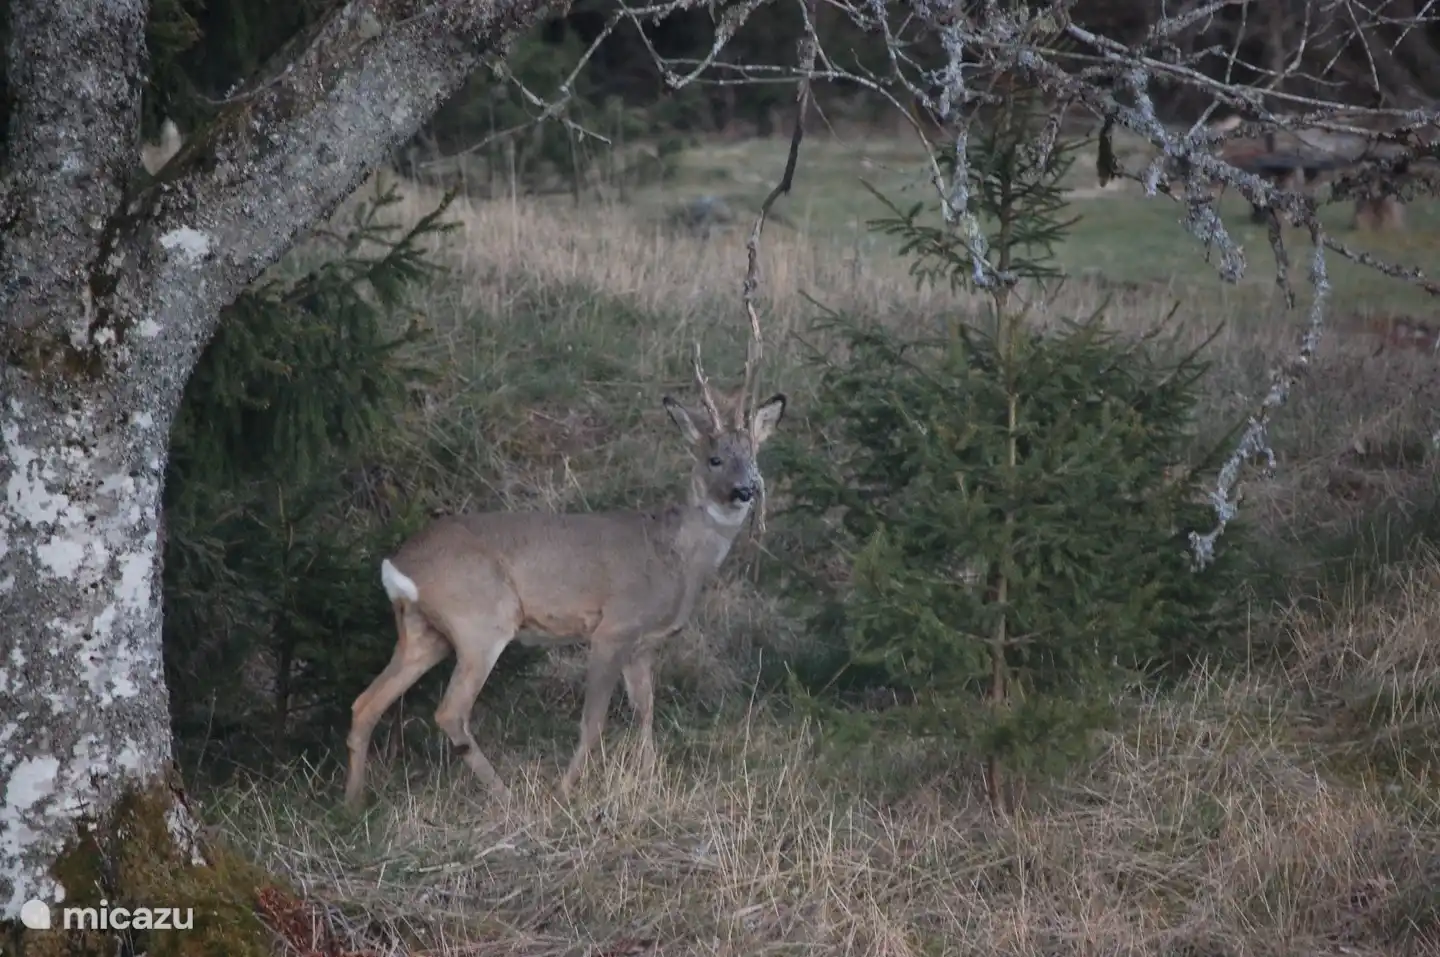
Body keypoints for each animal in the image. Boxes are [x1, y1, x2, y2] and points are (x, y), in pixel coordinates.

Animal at [343, 352, 786, 808]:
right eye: (714, 459)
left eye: (753, 456)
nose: (745, 490)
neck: (676, 557)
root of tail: (398, 566)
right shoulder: (614, 627)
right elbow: (593, 720)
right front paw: (566, 788)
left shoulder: (642, 644)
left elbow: (645, 710)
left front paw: (649, 780)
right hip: (481, 620)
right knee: (449, 711)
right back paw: (506, 795)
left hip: (424, 633)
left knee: (365, 703)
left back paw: (352, 803)